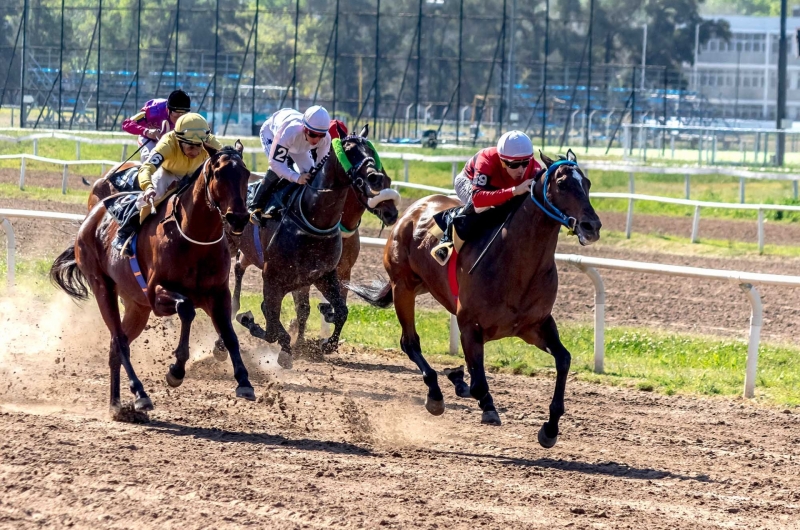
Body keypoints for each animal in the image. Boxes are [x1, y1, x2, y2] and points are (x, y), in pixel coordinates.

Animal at [49, 142, 253, 414]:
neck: (194, 239)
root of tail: (92, 217)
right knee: (120, 341)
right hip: (103, 287)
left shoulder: (218, 294)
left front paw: (244, 382)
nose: (238, 218)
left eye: (246, 173)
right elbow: (186, 308)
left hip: (137, 306)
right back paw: (140, 393)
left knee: (115, 347)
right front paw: (176, 370)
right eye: (219, 174)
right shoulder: (157, 294)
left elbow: (229, 335)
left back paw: (117, 405)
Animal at [233, 122, 392, 356]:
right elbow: (275, 320)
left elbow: (341, 310)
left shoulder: (325, 274)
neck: (313, 220)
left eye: (372, 152)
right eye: (349, 150)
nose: (376, 178)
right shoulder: (274, 276)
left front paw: (326, 342)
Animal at [348, 148, 600, 446]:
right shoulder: (470, 325)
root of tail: (412, 209)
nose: (592, 226)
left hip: (424, 285)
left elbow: (563, 359)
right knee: (409, 342)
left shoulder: (535, 325)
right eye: (562, 184)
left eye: (587, 183)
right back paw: (435, 394)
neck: (517, 265)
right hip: (403, 286)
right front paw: (484, 404)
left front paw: (550, 429)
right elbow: (479, 383)